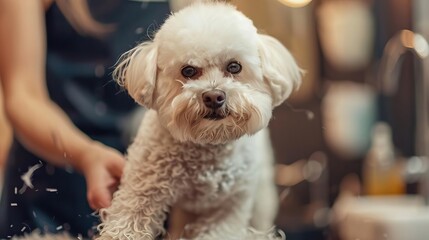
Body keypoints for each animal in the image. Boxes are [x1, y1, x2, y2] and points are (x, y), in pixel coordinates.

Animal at [96, 1, 300, 240]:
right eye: (188, 70)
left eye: (234, 67)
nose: (213, 97)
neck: (207, 146)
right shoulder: (141, 191)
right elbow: (126, 223)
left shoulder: (229, 210)